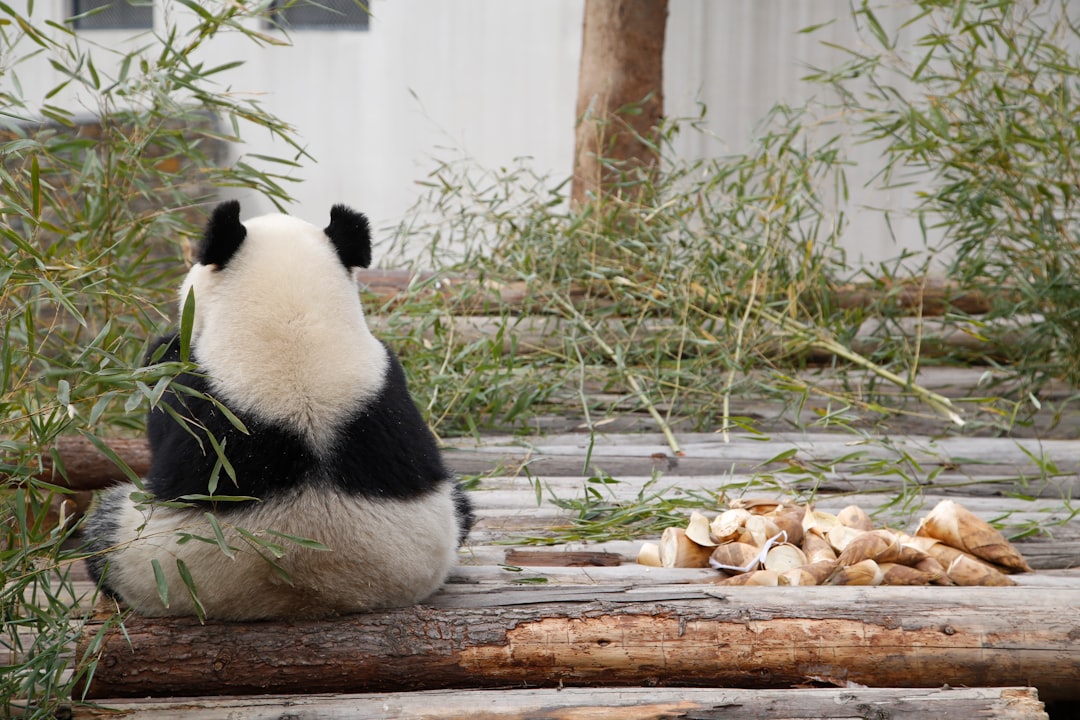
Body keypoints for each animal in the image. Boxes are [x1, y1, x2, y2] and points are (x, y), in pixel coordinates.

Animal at [84, 199, 473, 621]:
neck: (293, 325)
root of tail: (317, 594)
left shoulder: (191, 392)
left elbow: (163, 384)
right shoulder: (391, 386)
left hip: (148, 561)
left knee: (102, 530)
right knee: (463, 504)